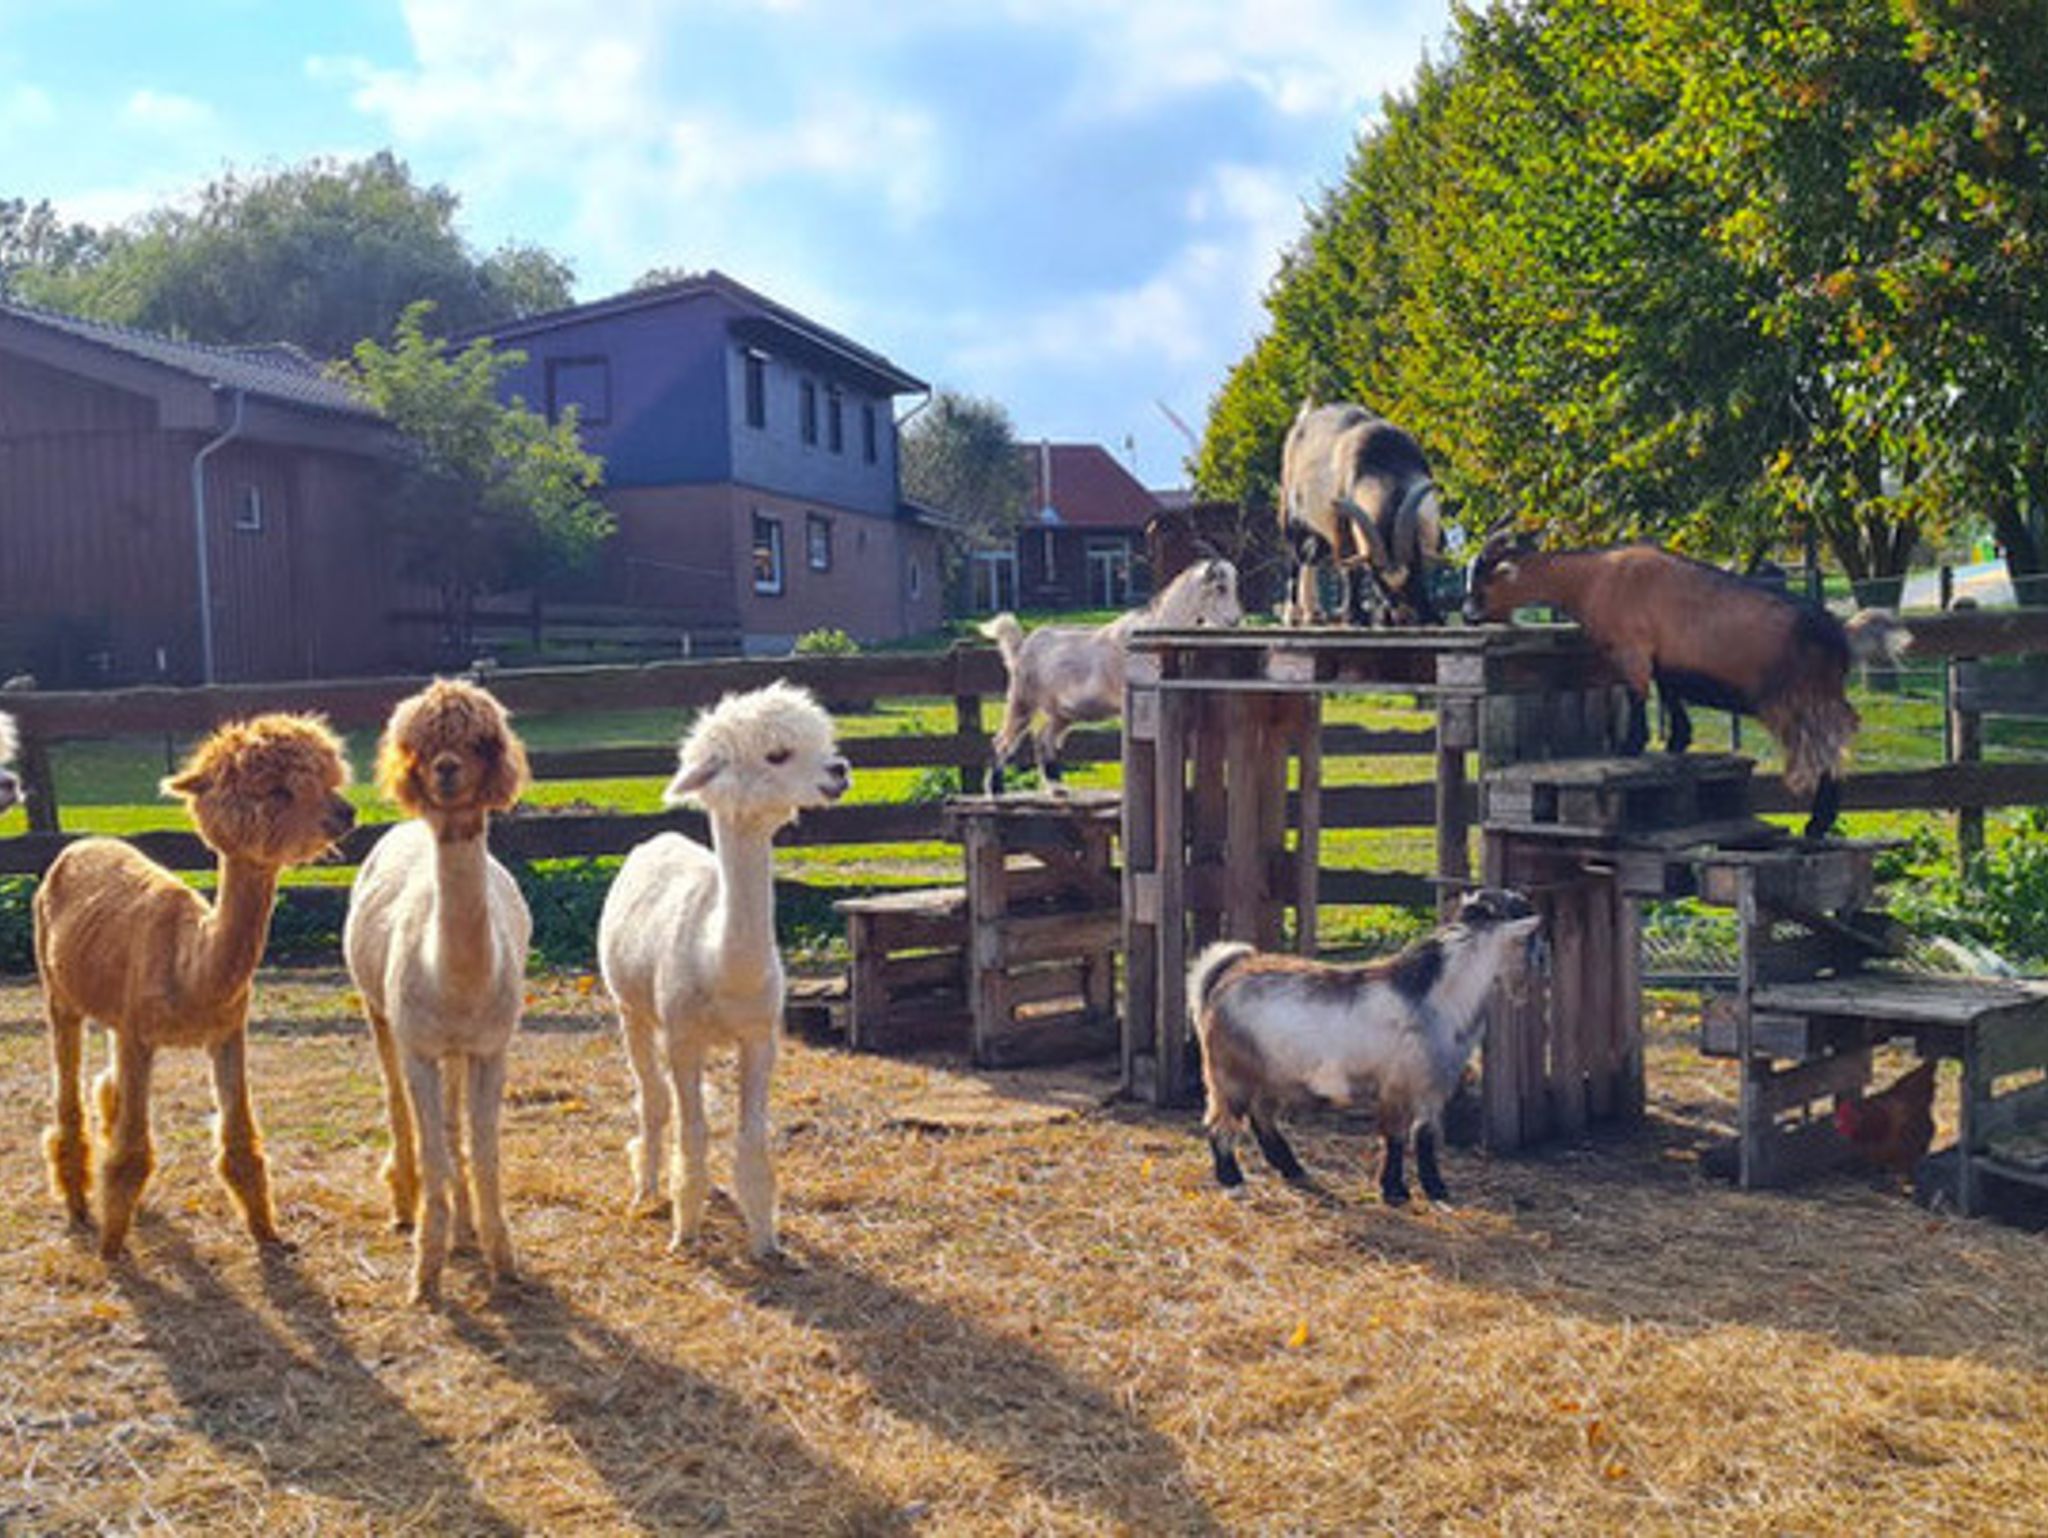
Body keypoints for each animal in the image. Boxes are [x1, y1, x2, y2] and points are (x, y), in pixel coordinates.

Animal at [598, 684, 851, 1261]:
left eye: (823, 740)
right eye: (777, 754)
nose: (840, 769)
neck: (721, 963)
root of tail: (660, 839)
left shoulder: (759, 1035)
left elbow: (749, 1135)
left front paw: (766, 1240)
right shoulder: (682, 1033)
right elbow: (689, 1128)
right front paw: (684, 1233)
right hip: (632, 1011)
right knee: (653, 1099)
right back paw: (647, 1191)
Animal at [1196, 888, 1540, 1212]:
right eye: (1531, 937)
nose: (1538, 976)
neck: (1434, 997)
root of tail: (1226, 976)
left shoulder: (1432, 1087)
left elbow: (1425, 1136)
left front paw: (1436, 1190)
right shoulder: (1399, 1085)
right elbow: (1396, 1137)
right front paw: (1395, 1191)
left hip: (1270, 1074)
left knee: (1261, 1117)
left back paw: (1293, 1169)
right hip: (1230, 1074)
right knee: (1220, 1124)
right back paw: (1233, 1182)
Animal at [1269, 405, 1449, 634]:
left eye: (1415, 570)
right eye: (1377, 579)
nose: (1403, 617)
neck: (1385, 464)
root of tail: (1302, 421)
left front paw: (1430, 615)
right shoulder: (1342, 523)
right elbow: (1351, 570)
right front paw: (1355, 617)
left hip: (1321, 534)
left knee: (1311, 558)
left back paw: (1314, 615)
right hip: (1292, 516)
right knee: (1296, 558)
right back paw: (1292, 615)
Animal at [1466, 532, 1908, 843]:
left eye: (1484, 581)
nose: (1469, 616)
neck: (1595, 576)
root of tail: (1839, 631)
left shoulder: (1633, 650)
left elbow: (1638, 694)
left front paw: (1631, 745)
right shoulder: (1665, 657)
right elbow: (1669, 693)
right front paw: (1677, 741)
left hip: (1804, 700)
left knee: (1834, 740)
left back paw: (1817, 823)